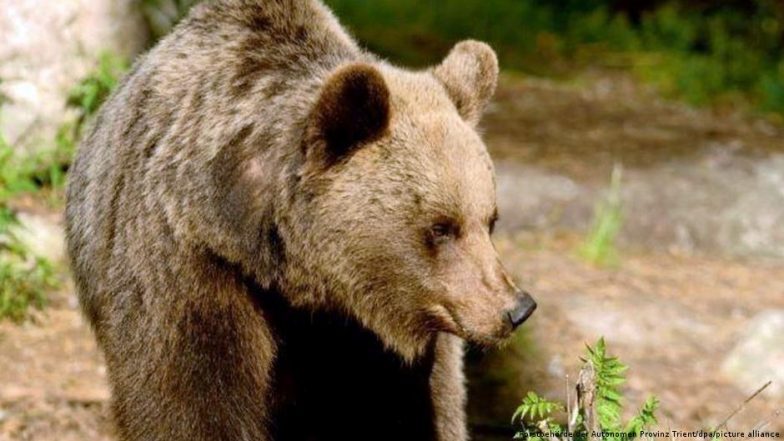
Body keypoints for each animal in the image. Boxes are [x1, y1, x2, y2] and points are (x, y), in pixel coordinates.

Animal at [64, 0, 537, 440]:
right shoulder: (188, 265)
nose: (516, 308)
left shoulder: (380, 344)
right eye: (441, 227)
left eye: (490, 219)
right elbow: (189, 400)